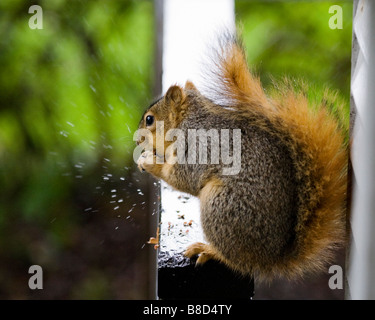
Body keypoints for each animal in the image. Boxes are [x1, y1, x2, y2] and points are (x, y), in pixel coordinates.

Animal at [136, 33, 350, 282]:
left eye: (149, 120)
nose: (137, 141)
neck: (189, 121)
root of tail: (271, 259)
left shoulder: (199, 147)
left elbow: (183, 178)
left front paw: (149, 161)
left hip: (220, 205)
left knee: (236, 261)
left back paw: (209, 250)